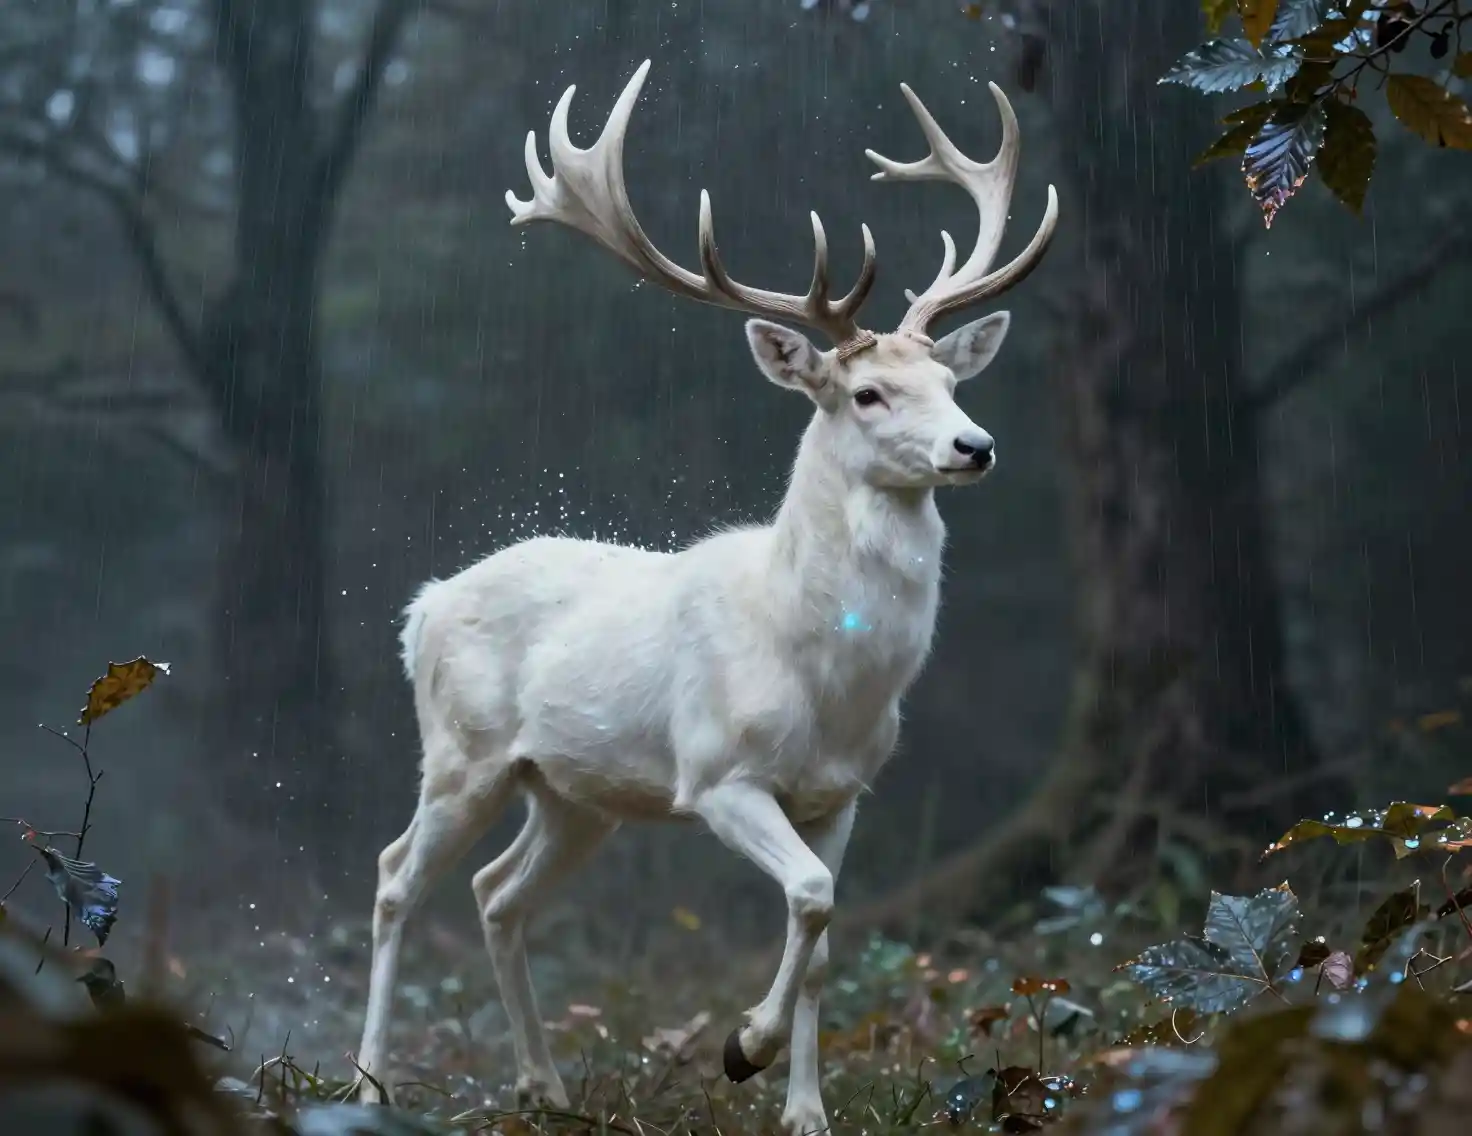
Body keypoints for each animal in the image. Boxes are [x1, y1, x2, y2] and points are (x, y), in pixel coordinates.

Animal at [355, 59, 1057, 1135]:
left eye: (948, 377)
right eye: (867, 394)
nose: (972, 446)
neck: (828, 675)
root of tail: (424, 605)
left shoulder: (844, 788)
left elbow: (825, 934)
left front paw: (804, 1109)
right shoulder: (718, 771)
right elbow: (808, 893)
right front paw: (740, 1047)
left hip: (572, 789)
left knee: (497, 890)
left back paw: (543, 1084)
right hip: (463, 750)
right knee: (397, 876)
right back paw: (367, 1083)